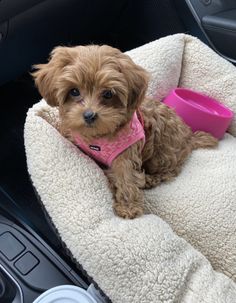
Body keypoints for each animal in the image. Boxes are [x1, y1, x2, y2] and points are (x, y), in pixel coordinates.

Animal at [32, 45, 218, 220]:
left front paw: (129, 208)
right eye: (74, 91)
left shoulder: (126, 153)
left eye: (108, 94)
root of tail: (189, 137)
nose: (89, 115)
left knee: (170, 171)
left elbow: (126, 178)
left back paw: (151, 179)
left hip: (163, 154)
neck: (98, 137)